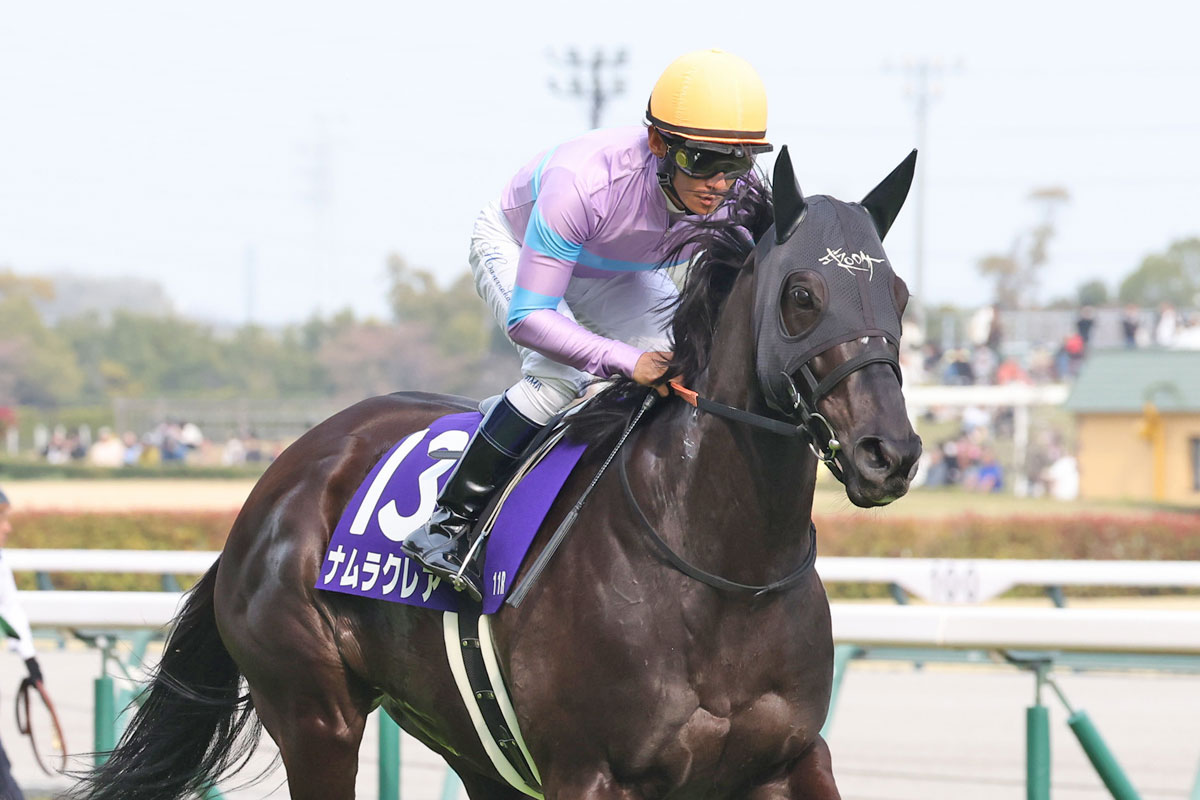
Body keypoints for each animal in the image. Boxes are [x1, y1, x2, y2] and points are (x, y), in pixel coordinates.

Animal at [73, 146, 922, 800]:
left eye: (898, 292)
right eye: (803, 295)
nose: (891, 452)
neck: (724, 571)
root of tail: (278, 480)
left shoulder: (791, 759)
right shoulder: (589, 772)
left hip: (470, 743)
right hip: (315, 714)